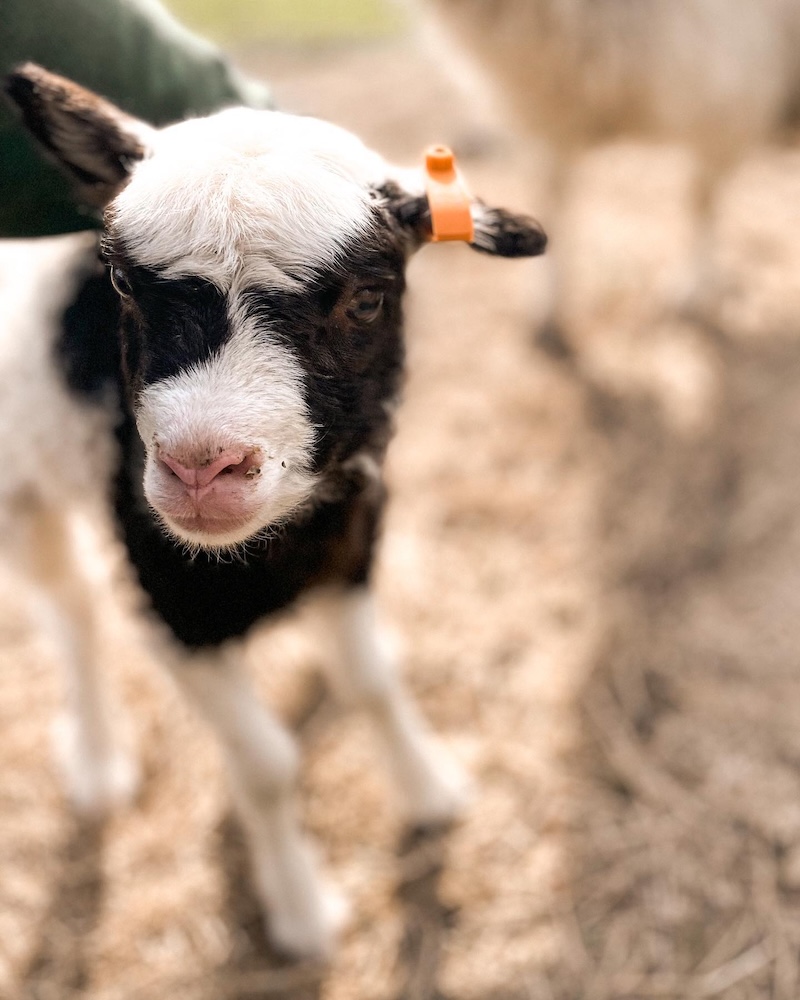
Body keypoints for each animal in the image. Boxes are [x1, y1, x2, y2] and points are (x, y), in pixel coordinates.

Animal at [1, 63, 546, 960]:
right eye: (120, 282)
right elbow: (264, 765)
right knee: (71, 608)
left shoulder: (350, 542)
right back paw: (98, 764)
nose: (201, 468)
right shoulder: (173, 602)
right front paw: (301, 912)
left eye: (368, 297)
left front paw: (429, 791)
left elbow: (372, 682)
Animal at [410, 0, 800, 344]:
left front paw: (692, 290)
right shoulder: (550, 111)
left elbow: (701, 198)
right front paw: (548, 307)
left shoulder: (724, 92)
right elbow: (552, 199)